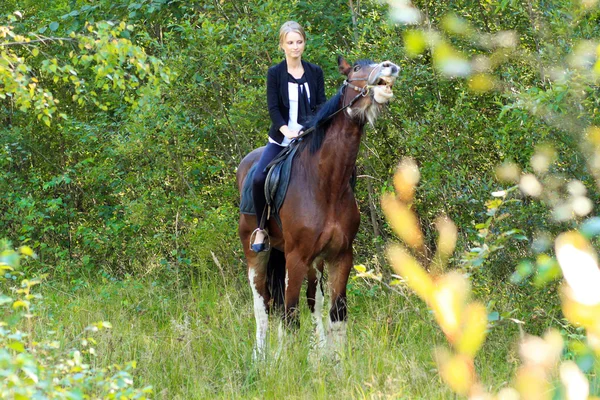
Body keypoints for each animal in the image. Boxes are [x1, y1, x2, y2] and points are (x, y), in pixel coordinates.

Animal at [237, 56, 400, 356]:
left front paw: (335, 361)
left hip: (312, 260)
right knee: (262, 303)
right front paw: (288, 362)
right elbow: (290, 315)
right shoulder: (296, 258)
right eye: (356, 69)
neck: (325, 183)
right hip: (256, 252)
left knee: (313, 301)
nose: (389, 66)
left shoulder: (340, 257)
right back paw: (261, 355)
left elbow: (336, 313)